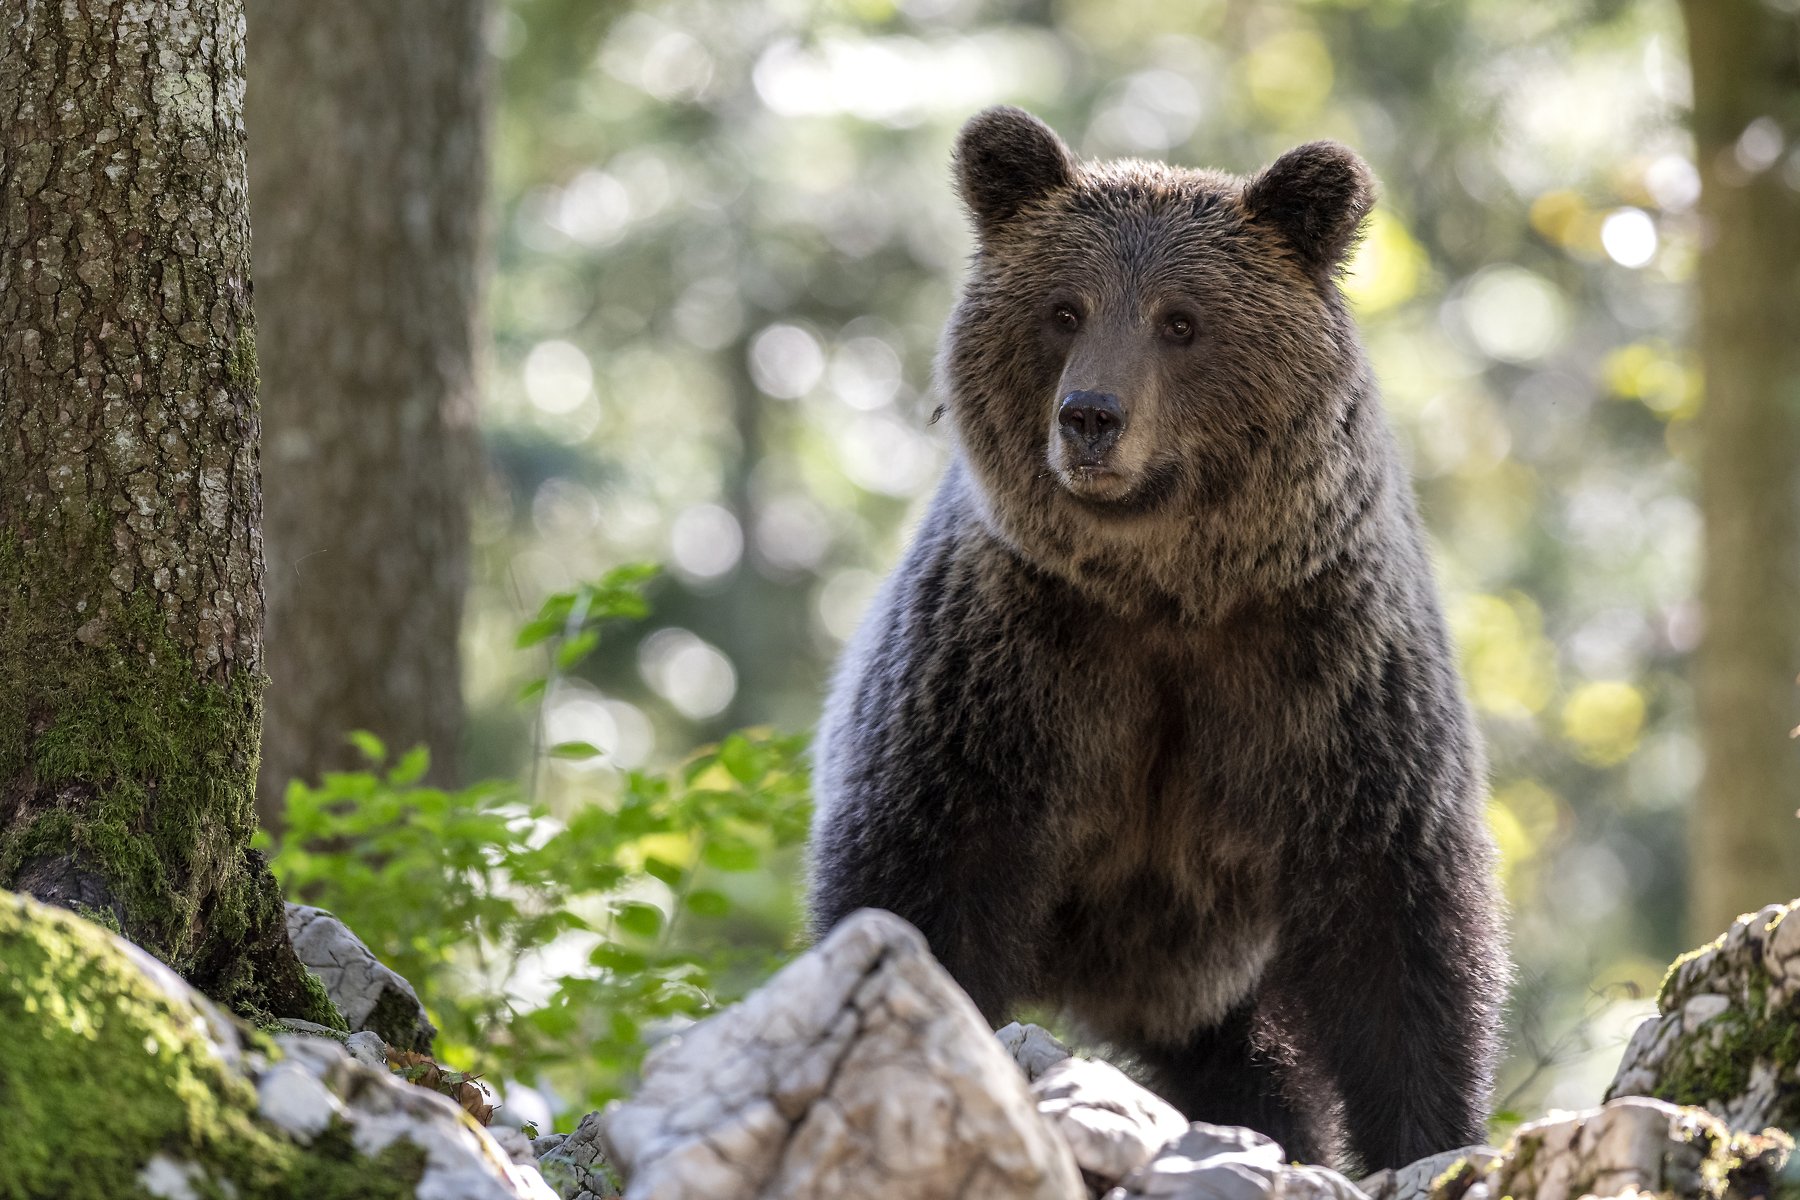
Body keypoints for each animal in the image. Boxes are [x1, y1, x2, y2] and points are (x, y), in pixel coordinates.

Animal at [810, 105, 1512, 1173]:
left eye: (1180, 321)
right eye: (1065, 309)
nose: (1089, 416)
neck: (1164, 590)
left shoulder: (1327, 672)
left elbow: (1393, 915)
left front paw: (1429, 1137)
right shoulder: (1001, 661)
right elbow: (927, 868)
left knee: (1260, 1062)